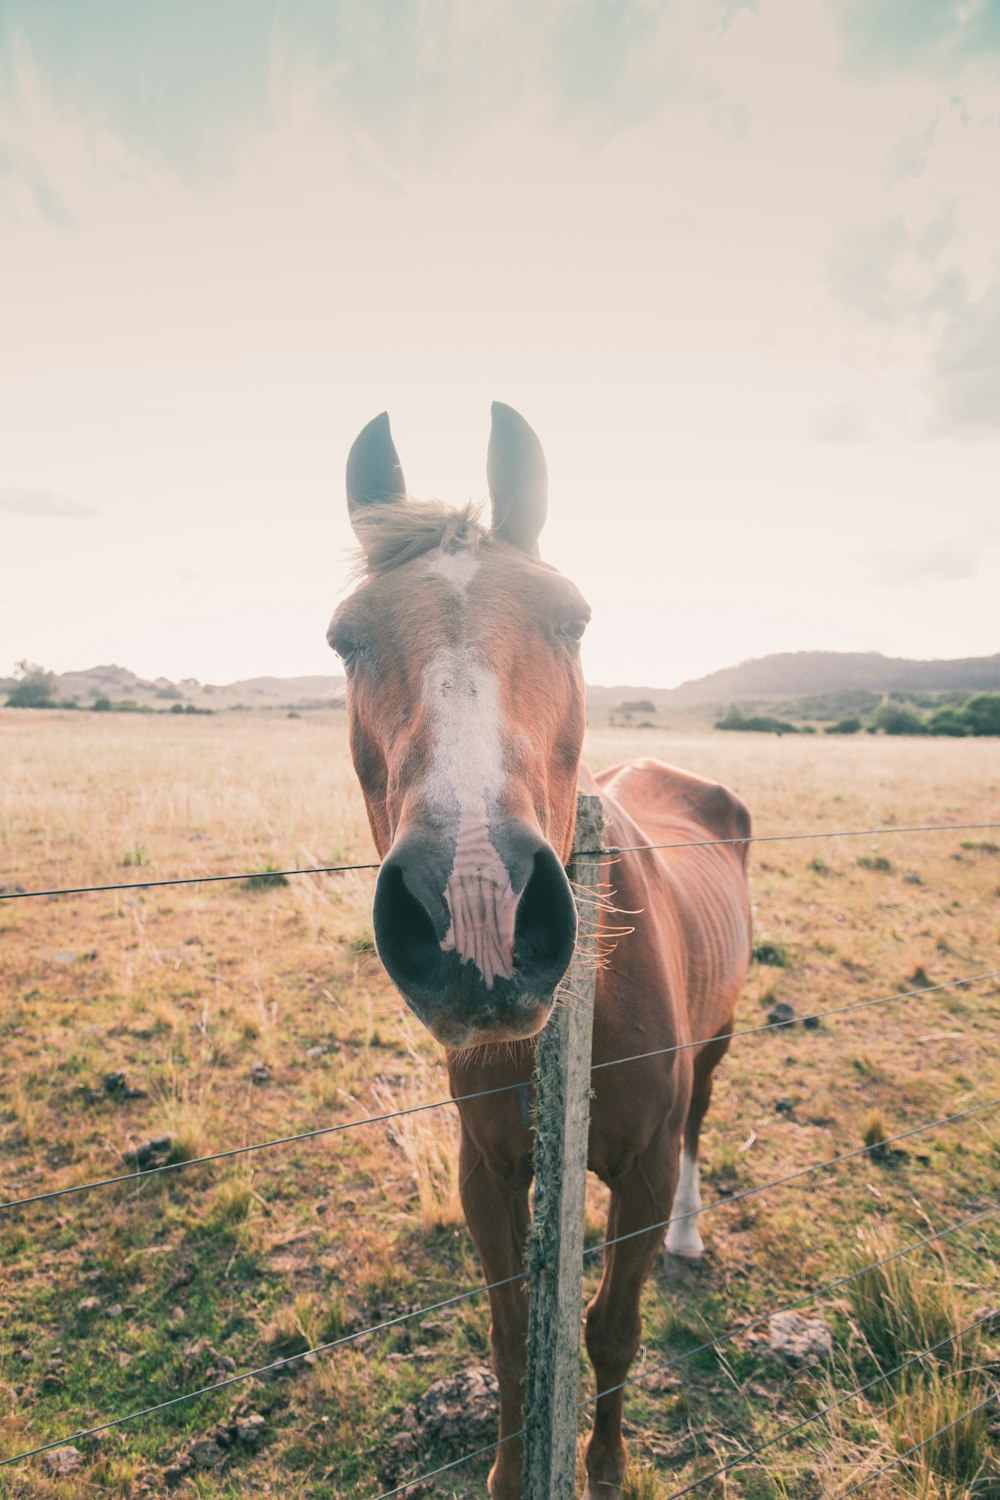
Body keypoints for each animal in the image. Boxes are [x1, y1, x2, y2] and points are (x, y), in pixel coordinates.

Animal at [328, 402, 749, 1500]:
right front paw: (510, 1471)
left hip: (719, 1047)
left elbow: (609, 1332)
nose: (474, 907)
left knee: (702, 1127)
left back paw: (692, 1237)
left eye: (574, 619)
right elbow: (516, 1330)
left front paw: (602, 1470)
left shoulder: (640, 1172)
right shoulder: (487, 1165)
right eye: (345, 639)